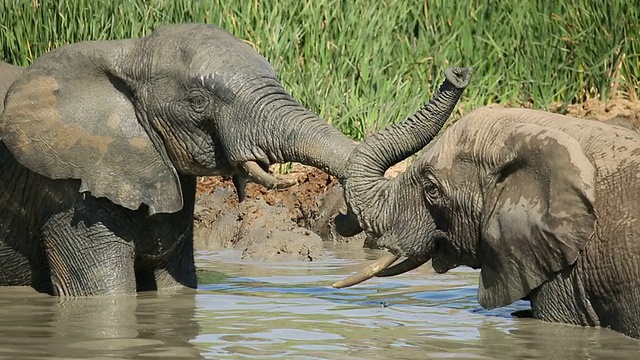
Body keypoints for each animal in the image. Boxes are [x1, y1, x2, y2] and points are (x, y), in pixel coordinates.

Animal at [0, 23, 358, 298]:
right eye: (198, 102)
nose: (343, 217)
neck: (127, 52)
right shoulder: (69, 192)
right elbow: (105, 297)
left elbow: (176, 288)